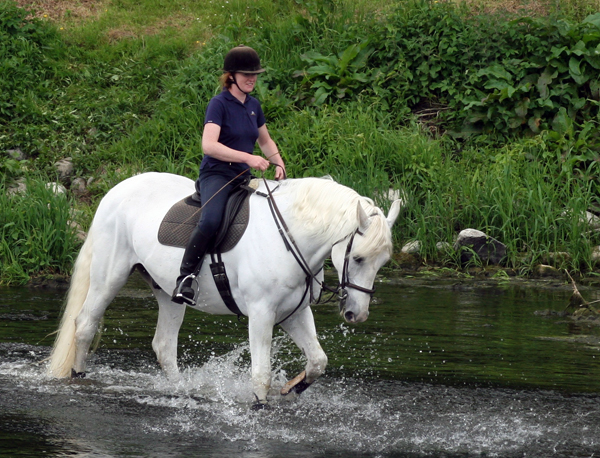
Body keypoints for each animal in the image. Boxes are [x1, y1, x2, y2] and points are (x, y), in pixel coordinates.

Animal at [48, 172, 404, 404]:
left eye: (383, 262)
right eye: (357, 257)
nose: (356, 314)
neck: (290, 235)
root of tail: (115, 192)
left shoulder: (294, 312)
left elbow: (318, 360)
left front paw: (292, 388)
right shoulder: (261, 313)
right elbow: (261, 374)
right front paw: (260, 407)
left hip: (168, 293)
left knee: (164, 345)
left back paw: (183, 392)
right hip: (109, 277)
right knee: (85, 325)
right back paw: (79, 378)